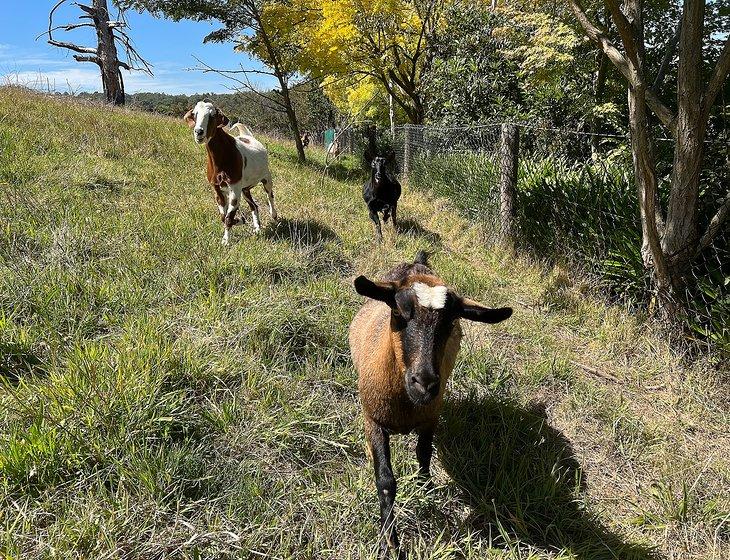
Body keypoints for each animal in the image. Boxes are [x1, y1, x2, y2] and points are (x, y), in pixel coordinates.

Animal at [182, 101, 276, 245]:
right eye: (194, 114)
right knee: (254, 205)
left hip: (266, 176)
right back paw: (257, 228)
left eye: (212, 115)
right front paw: (240, 221)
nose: (198, 132)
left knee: (270, 195)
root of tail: (248, 136)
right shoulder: (217, 188)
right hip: (245, 188)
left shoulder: (234, 189)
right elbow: (223, 216)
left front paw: (226, 241)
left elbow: (228, 217)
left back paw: (273, 214)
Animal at [348, 252, 512, 556]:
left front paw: (426, 491)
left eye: (450, 323)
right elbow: (385, 481)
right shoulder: (373, 421)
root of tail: (417, 263)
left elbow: (424, 455)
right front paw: (392, 542)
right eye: (398, 312)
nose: (424, 383)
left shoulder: (430, 419)